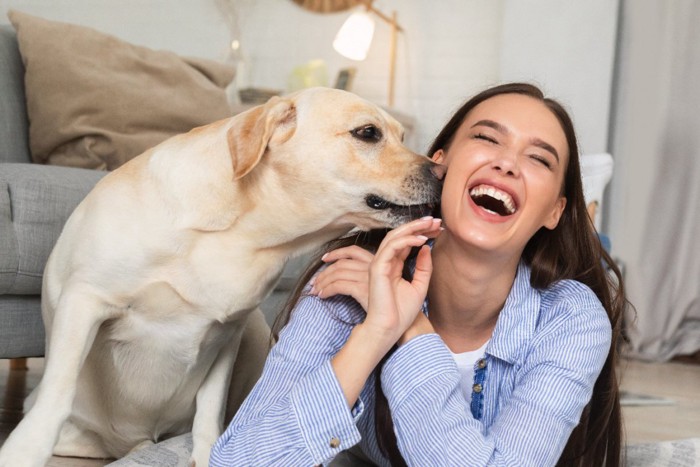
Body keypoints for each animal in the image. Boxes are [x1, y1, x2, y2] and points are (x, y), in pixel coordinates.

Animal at [0, 88, 440, 467]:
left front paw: (206, 451)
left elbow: (210, 405)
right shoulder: (85, 299)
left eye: (402, 136)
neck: (242, 232)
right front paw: (24, 452)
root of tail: (133, 442)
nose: (441, 171)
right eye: (368, 133)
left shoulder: (230, 329)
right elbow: (59, 390)